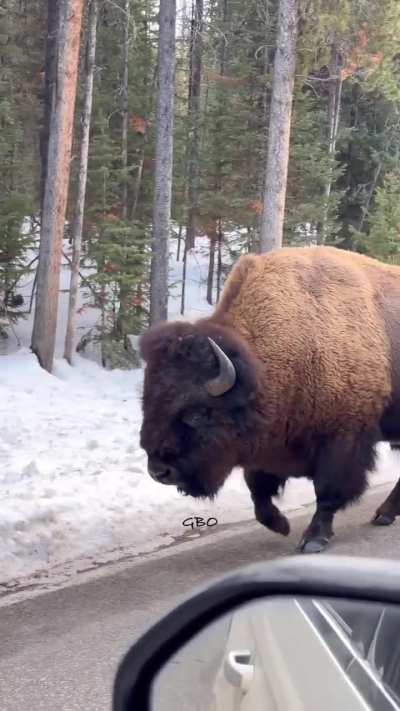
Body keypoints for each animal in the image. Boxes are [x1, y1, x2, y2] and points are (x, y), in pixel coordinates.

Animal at [139, 246, 400, 553]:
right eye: (147, 403)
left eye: (197, 413)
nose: (159, 471)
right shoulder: (266, 448)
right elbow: (258, 492)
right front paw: (280, 524)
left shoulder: (343, 438)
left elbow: (327, 491)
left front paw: (313, 539)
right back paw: (384, 514)